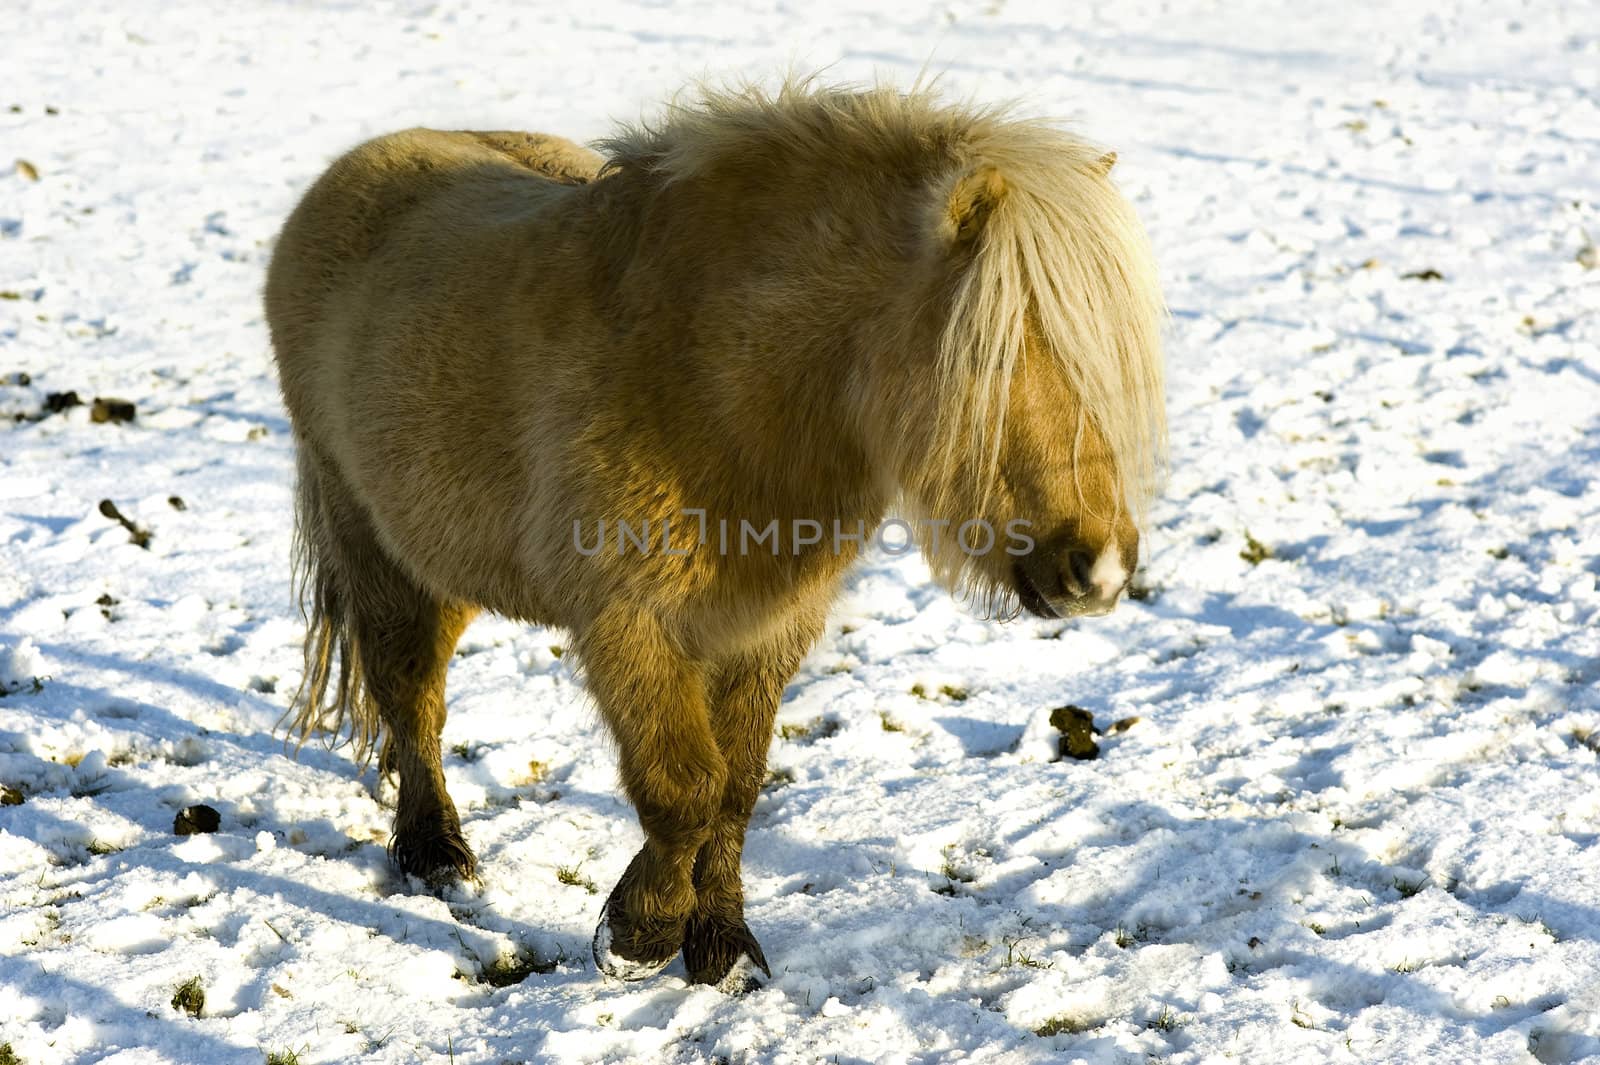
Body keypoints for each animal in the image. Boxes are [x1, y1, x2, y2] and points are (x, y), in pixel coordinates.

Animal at [262, 80, 1164, 985]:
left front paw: (719, 941)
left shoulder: (766, 628)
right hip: (384, 548)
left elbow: (735, 785)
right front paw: (640, 931)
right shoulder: (628, 622)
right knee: (410, 695)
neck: (705, 378)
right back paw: (435, 851)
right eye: (989, 356)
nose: (1101, 569)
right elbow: (683, 787)